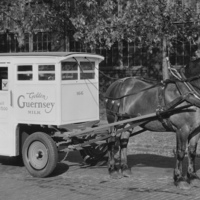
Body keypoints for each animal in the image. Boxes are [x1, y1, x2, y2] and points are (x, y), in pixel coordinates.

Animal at [104, 58, 200, 189]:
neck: (187, 93)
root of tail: (116, 83)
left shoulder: (196, 130)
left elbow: (192, 152)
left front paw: (193, 177)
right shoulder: (182, 129)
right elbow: (181, 152)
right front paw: (179, 179)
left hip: (128, 122)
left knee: (123, 141)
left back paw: (124, 168)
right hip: (114, 122)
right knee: (111, 141)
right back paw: (112, 170)